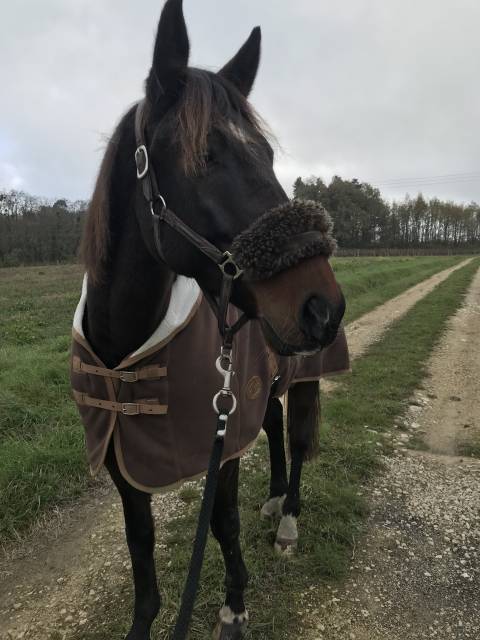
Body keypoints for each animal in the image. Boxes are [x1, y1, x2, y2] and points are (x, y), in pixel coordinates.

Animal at [75, 1, 347, 638]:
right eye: (204, 155)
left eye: (268, 156)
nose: (322, 306)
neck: (123, 351)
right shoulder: (125, 459)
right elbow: (140, 543)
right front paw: (144, 622)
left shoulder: (220, 443)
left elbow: (221, 522)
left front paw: (234, 604)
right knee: (273, 426)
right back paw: (273, 496)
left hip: (305, 375)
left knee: (297, 437)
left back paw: (288, 518)